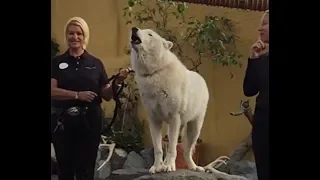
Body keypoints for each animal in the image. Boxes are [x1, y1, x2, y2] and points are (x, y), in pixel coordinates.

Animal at [129, 27, 230, 175]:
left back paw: (194, 167)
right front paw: (156, 167)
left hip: (193, 128)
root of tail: (202, 79)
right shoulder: (154, 120)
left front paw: (169, 166)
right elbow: (158, 149)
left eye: (150, 34)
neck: (155, 72)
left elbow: (172, 149)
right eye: (141, 29)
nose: (134, 29)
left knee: (187, 151)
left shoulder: (174, 118)